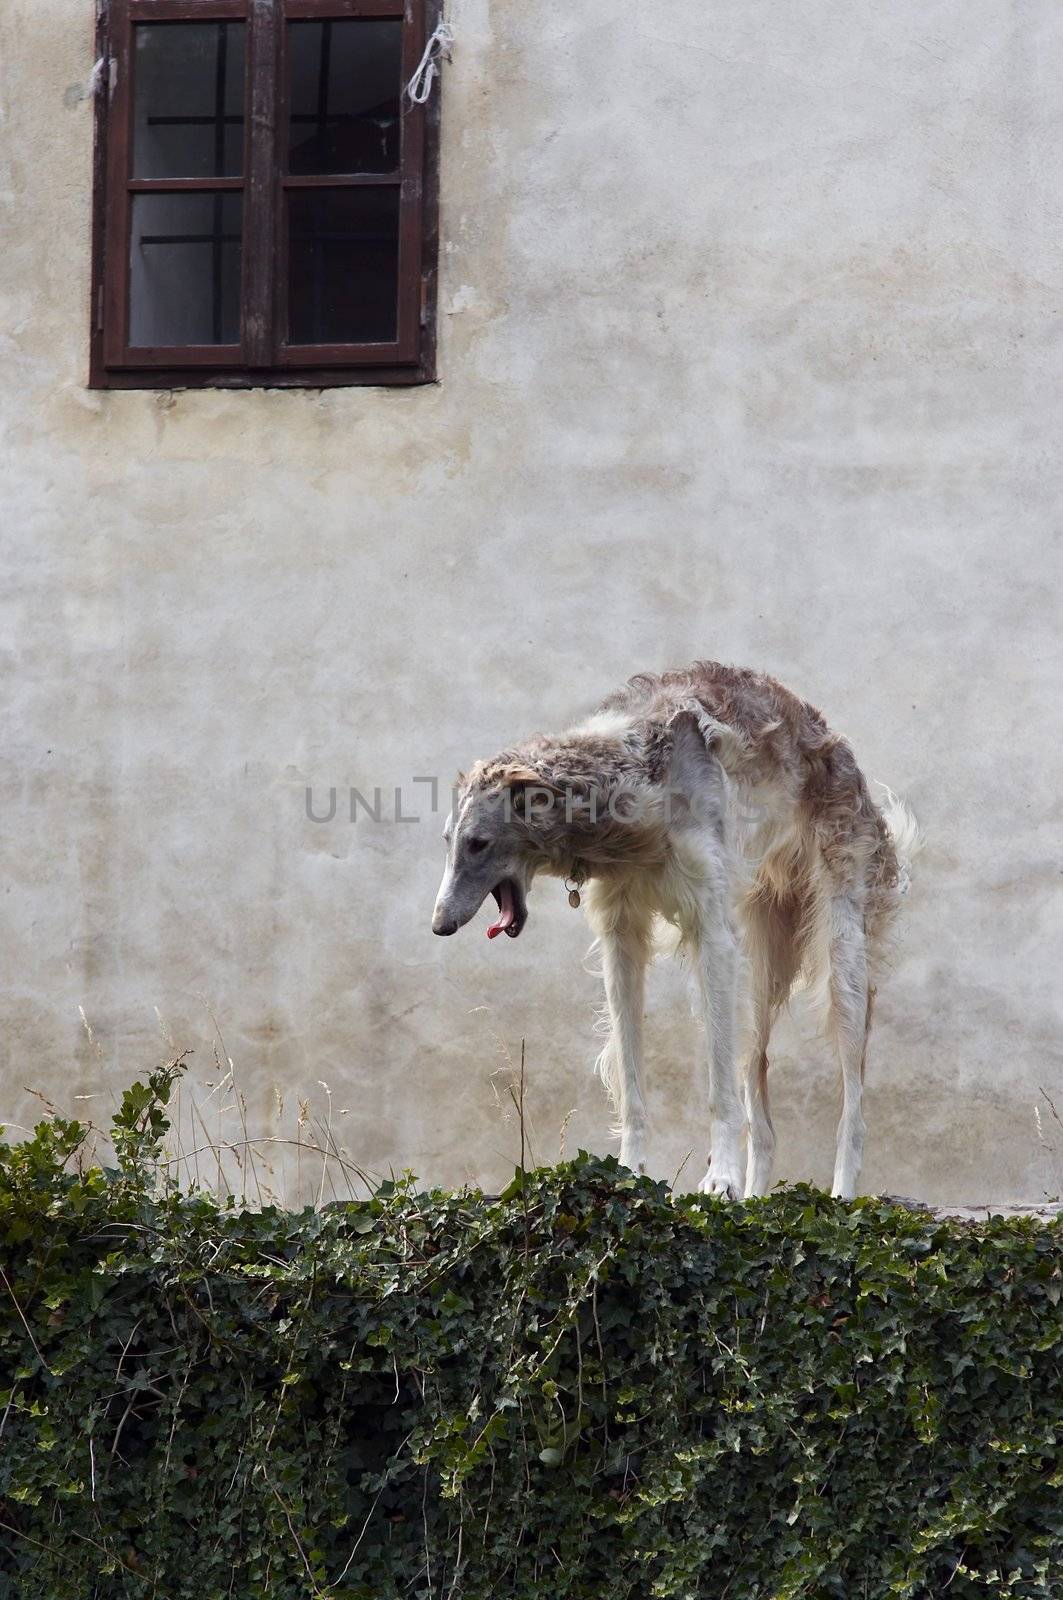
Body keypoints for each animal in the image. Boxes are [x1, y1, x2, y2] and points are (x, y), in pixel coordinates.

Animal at [429, 662, 915, 1203]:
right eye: (449, 841)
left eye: (478, 843)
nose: (439, 925)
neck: (634, 777)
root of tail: (834, 741)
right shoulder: (621, 938)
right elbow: (632, 1080)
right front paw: (630, 1170)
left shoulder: (711, 934)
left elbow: (719, 1089)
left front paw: (720, 1178)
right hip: (756, 968)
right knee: (763, 1119)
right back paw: (755, 1194)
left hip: (840, 962)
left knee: (852, 1112)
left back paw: (840, 1195)